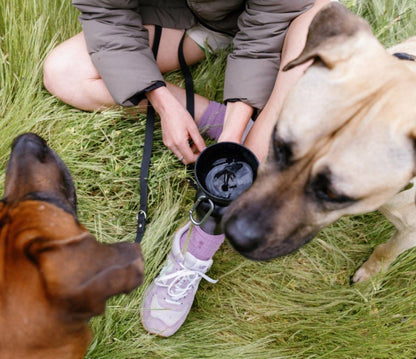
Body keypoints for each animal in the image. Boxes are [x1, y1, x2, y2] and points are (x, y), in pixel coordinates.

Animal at [224, 3, 416, 284]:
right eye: (278, 144)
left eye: (334, 194)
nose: (235, 235)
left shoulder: (409, 234)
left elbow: (387, 251)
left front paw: (371, 274)